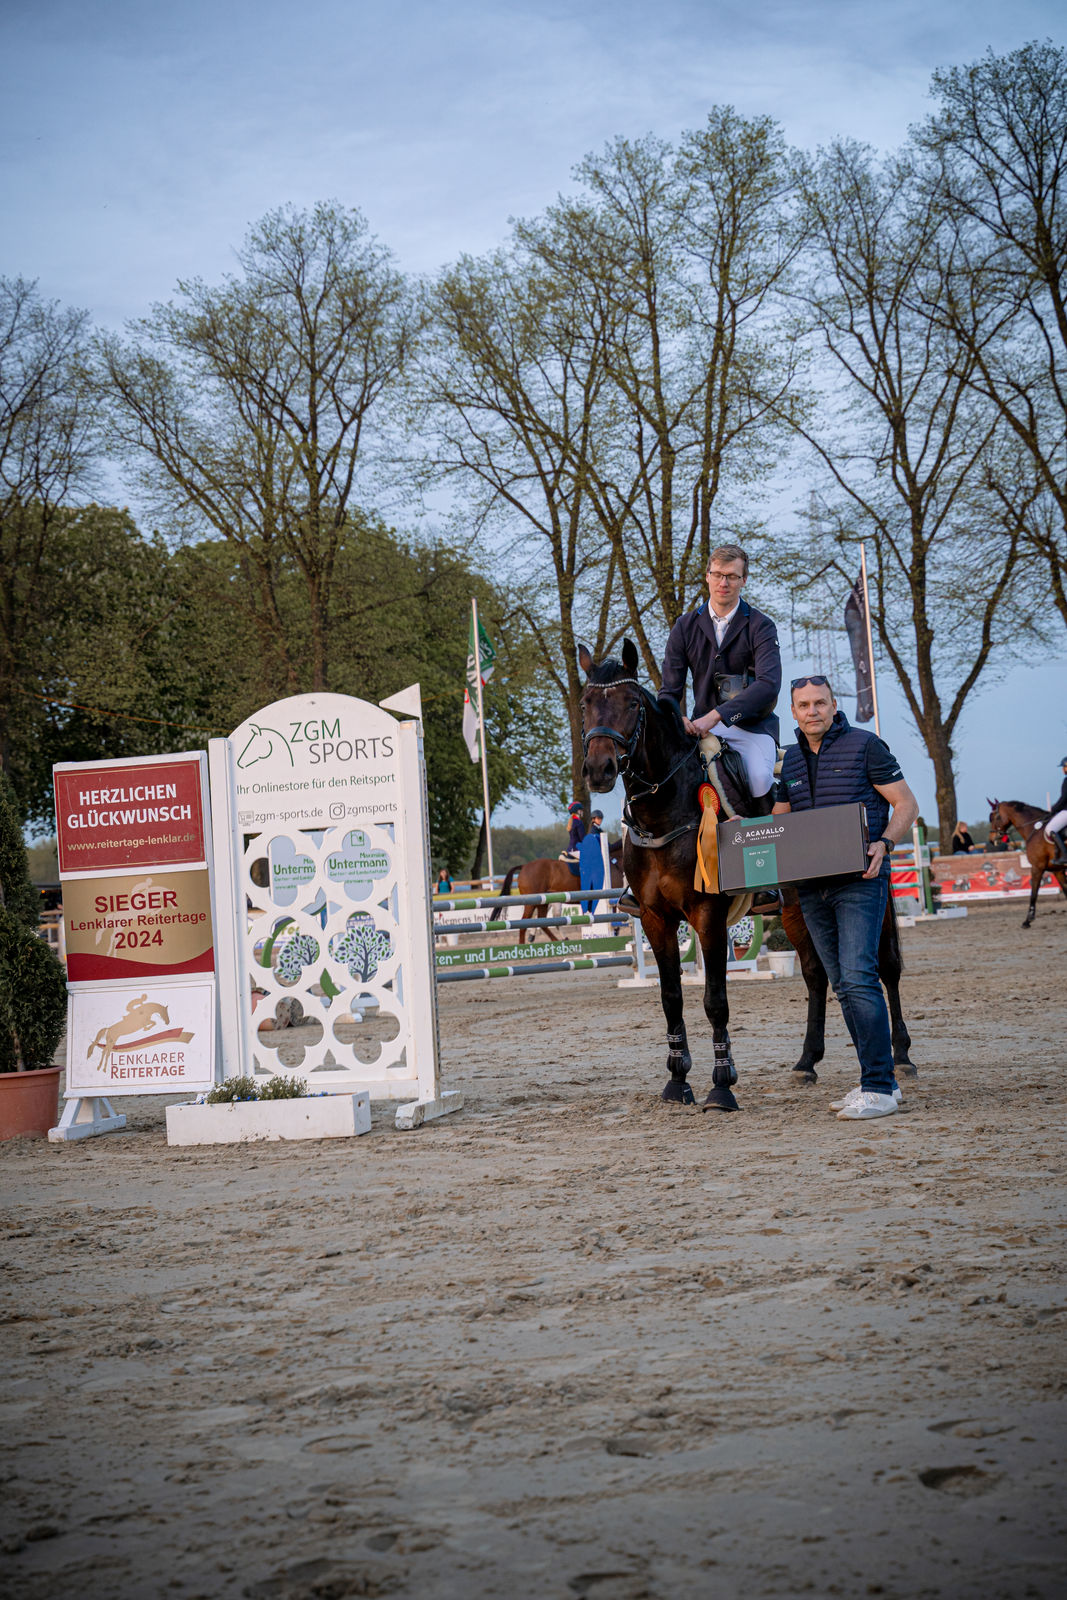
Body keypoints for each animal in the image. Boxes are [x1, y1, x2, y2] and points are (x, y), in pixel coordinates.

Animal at [491, 841, 624, 944]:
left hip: (543, 902)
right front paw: (615, 931)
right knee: (524, 923)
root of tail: (524, 866)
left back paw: (556, 941)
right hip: (532, 903)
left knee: (542, 922)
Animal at [988, 798, 1067, 927]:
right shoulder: (1058, 870)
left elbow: (1033, 892)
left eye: (993, 817)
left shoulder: (1037, 867)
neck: (1034, 829)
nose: (991, 839)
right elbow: (1066, 891)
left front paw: (1028, 920)